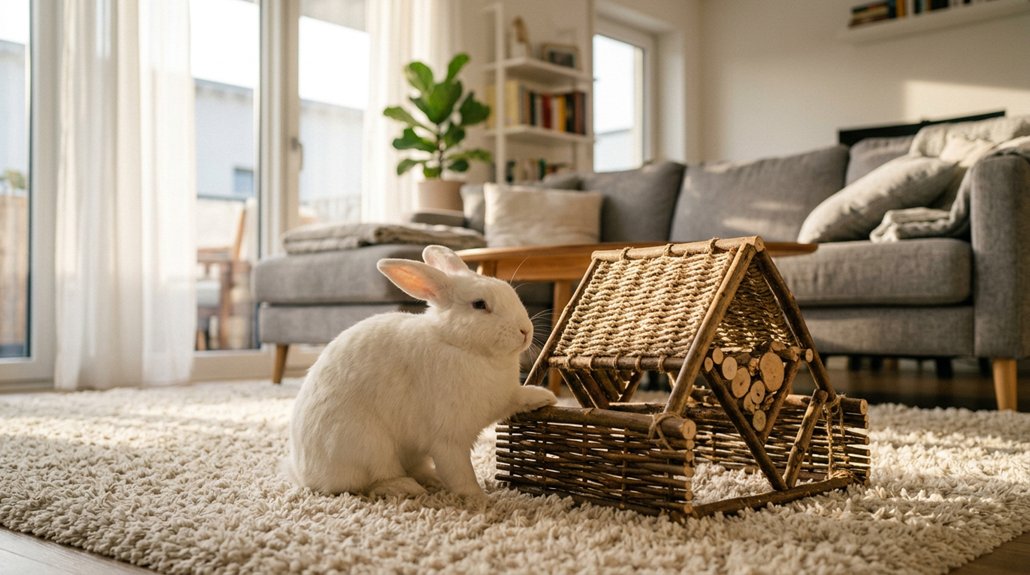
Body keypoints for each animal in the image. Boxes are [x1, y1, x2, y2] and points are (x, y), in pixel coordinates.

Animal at [286, 244, 557, 499]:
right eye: (479, 304)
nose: (526, 331)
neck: (457, 343)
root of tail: (302, 474)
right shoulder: (449, 438)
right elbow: (460, 471)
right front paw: (480, 498)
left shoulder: (504, 398)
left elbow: (518, 397)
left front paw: (545, 397)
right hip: (368, 447)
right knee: (369, 483)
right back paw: (407, 488)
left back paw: (431, 480)